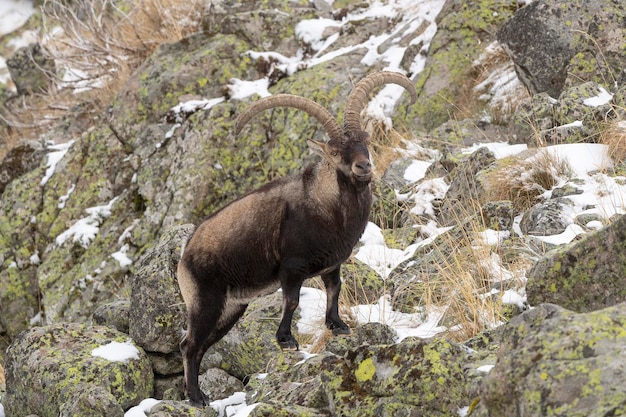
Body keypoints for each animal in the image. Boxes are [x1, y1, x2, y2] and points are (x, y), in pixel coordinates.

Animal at [178, 70, 416, 404]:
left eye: (365, 142)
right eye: (333, 152)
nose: (363, 166)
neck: (326, 205)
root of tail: (184, 257)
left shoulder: (332, 263)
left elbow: (335, 289)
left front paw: (338, 326)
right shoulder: (291, 267)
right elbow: (291, 301)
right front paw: (286, 340)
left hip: (231, 309)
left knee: (199, 347)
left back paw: (197, 395)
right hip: (205, 303)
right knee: (189, 345)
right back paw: (197, 398)